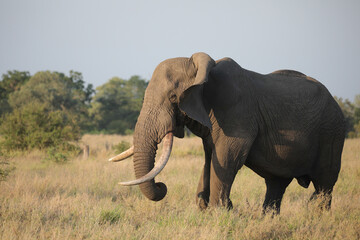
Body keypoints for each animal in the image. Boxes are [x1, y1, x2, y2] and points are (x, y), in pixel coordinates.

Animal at [110, 52, 346, 214]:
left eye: (173, 97)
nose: (161, 186)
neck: (202, 72)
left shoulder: (236, 112)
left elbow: (227, 157)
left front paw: (220, 210)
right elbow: (209, 158)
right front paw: (207, 206)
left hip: (332, 133)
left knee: (324, 184)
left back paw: (317, 216)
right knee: (277, 184)